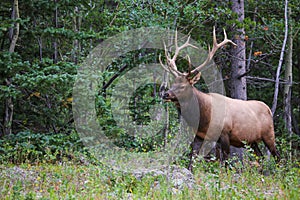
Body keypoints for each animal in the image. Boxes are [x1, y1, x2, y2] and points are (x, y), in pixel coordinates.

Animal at [161, 27, 280, 169]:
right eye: (173, 84)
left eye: (183, 86)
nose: (165, 94)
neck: (205, 117)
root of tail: (268, 109)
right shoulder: (200, 135)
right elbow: (193, 158)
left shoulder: (225, 133)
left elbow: (225, 162)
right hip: (252, 141)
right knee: (260, 157)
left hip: (269, 134)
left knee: (277, 156)